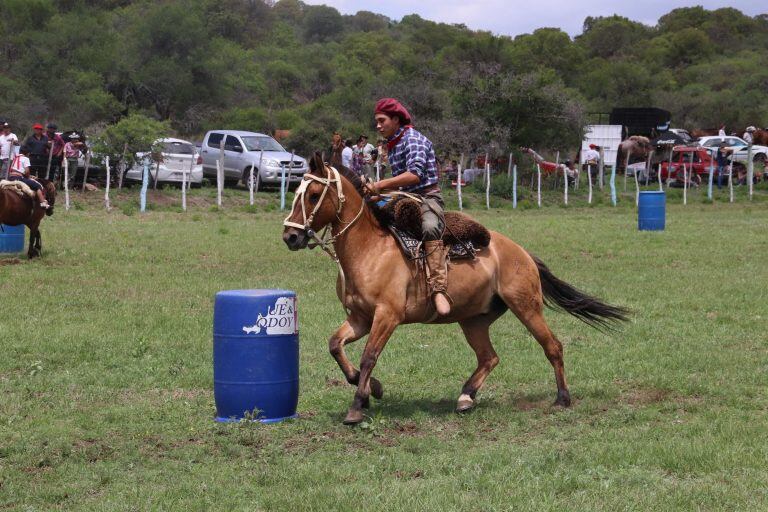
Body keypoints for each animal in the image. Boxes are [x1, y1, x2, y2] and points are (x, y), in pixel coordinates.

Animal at [282, 153, 632, 424]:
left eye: (313, 194)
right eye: (296, 191)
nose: (290, 236)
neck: (370, 250)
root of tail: (521, 253)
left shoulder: (387, 316)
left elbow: (369, 356)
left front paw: (358, 406)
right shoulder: (360, 319)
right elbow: (335, 345)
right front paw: (371, 389)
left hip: (526, 306)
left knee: (553, 347)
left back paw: (562, 398)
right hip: (474, 319)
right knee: (489, 357)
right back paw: (466, 397)